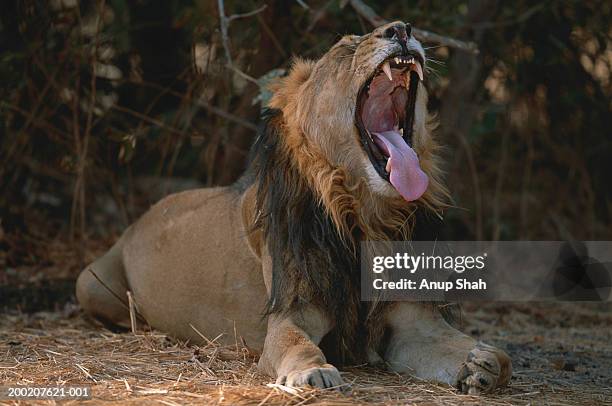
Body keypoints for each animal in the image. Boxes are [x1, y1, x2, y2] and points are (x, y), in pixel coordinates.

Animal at [76, 21, 512, 394]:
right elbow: (295, 344)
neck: (365, 218)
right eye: (345, 48)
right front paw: (312, 372)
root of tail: (138, 220)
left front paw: (485, 363)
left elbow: (477, 351)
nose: (402, 29)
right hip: (87, 283)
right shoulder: (290, 312)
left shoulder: (412, 323)